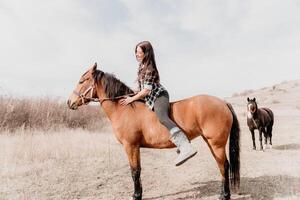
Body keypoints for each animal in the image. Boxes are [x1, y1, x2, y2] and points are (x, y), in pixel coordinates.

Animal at [67, 63, 240, 200]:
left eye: (81, 81)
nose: (69, 102)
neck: (125, 109)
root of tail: (223, 102)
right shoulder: (134, 147)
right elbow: (136, 171)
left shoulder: (131, 146)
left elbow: (135, 171)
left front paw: (136, 195)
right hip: (210, 142)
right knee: (221, 166)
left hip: (216, 143)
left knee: (224, 165)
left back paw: (225, 195)